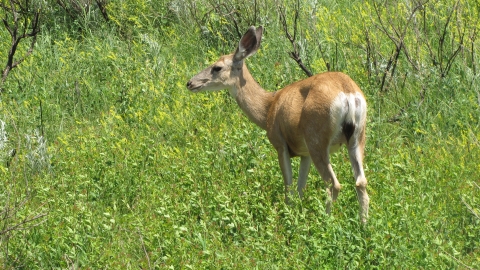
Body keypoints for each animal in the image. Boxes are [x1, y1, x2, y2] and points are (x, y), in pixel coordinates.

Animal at [186, 25, 370, 224]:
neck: (268, 107)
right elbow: (300, 188)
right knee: (361, 182)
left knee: (333, 184)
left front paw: (288, 218)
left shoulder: (280, 144)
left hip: (317, 138)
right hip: (357, 137)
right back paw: (363, 225)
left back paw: (326, 222)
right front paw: (298, 216)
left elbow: (289, 187)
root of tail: (348, 93)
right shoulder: (304, 152)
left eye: (217, 67)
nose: (190, 83)